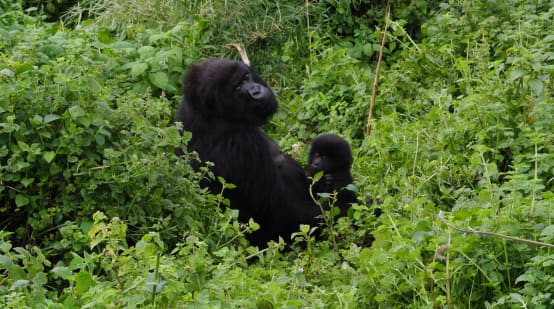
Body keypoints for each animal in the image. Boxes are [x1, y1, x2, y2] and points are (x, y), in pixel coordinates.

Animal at [175, 57, 324, 245]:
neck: (212, 113)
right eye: (237, 88)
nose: (255, 91)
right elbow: (283, 213)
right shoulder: (242, 144)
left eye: (246, 77)